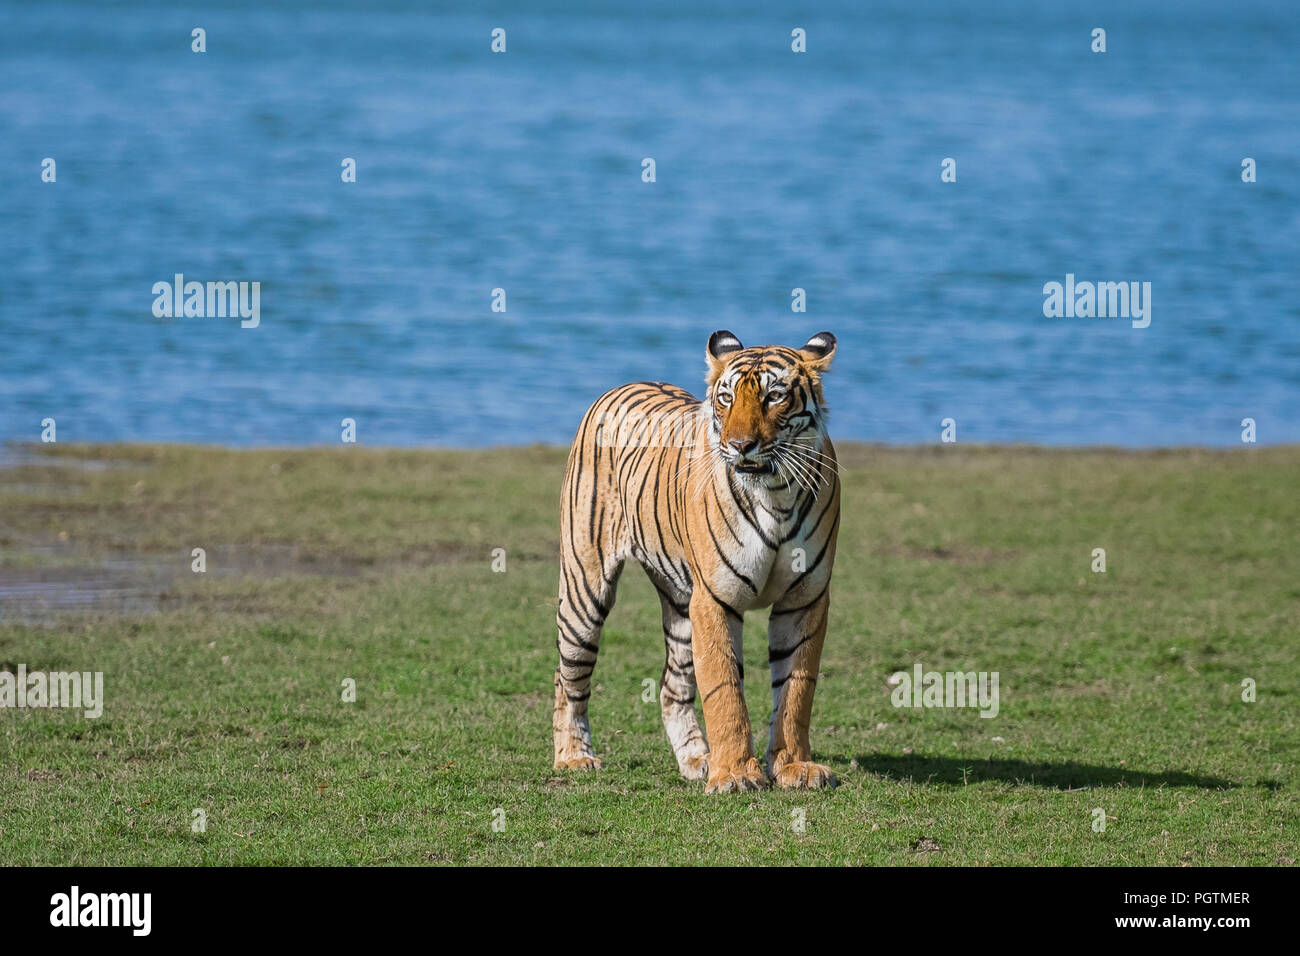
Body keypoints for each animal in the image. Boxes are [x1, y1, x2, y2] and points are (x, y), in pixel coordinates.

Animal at [551, 329, 842, 790]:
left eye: (774, 396)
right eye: (726, 398)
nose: (740, 446)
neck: (774, 494)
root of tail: (623, 384)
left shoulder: (805, 599)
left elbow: (796, 689)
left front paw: (795, 767)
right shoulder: (715, 598)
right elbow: (724, 690)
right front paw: (735, 774)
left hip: (680, 605)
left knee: (671, 687)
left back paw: (696, 758)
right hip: (585, 588)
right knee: (568, 681)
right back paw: (575, 757)